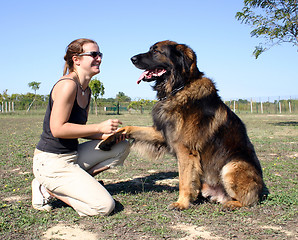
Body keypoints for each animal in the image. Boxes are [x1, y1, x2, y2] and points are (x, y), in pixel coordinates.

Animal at [100, 40, 268, 209]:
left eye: (156, 51)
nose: (132, 58)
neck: (178, 88)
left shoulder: (186, 150)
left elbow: (184, 180)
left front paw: (181, 203)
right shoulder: (162, 133)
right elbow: (128, 128)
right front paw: (108, 140)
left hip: (232, 165)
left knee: (248, 201)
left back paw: (230, 204)